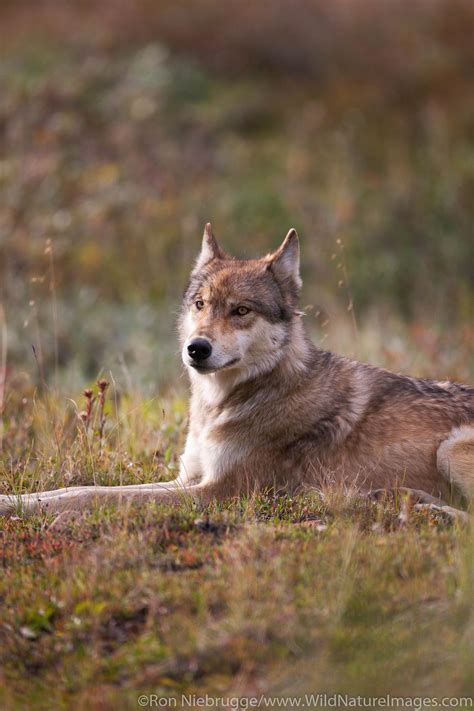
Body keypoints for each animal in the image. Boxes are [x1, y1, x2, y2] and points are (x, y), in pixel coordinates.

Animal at [0, 225, 474, 520]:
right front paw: (13, 500)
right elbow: (77, 490)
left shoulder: (218, 492)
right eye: (201, 304)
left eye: (241, 310)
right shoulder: (188, 479)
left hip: (449, 450)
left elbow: (91, 495)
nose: (197, 348)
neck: (227, 402)